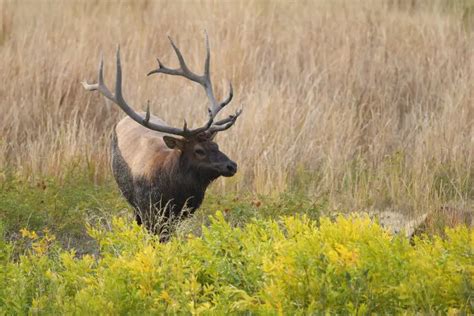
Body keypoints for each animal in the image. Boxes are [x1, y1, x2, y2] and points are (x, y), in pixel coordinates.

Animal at [81, 34, 241, 241]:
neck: (172, 191)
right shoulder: (147, 207)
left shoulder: (179, 214)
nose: (232, 165)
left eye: (216, 145)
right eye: (199, 150)